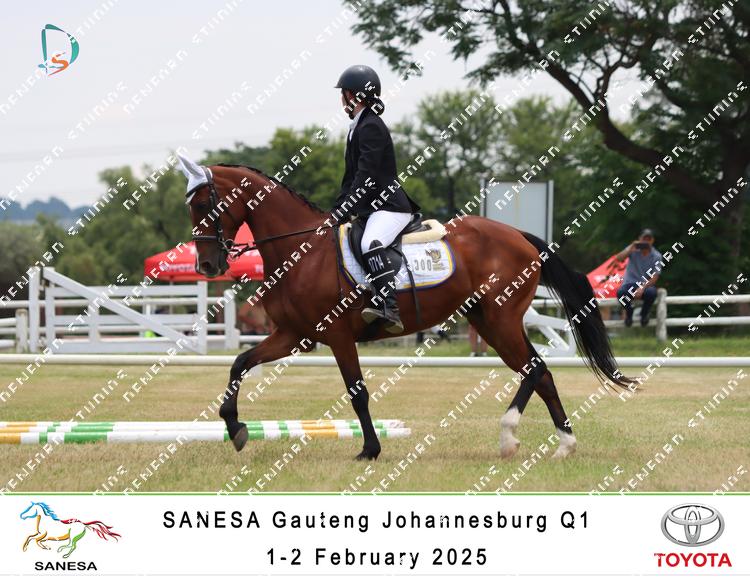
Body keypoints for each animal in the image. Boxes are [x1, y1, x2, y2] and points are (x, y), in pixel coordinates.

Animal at [176, 154, 630, 461]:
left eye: (202, 205)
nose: (207, 266)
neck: (300, 250)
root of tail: (519, 236)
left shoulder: (337, 336)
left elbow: (357, 393)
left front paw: (370, 449)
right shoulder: (294, 335)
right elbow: (240, 363)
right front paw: (235, 426)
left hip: (500, 319)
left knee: (535, 370)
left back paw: (520, 437)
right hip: (488, 320)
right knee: (540, 373)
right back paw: (553, 443)